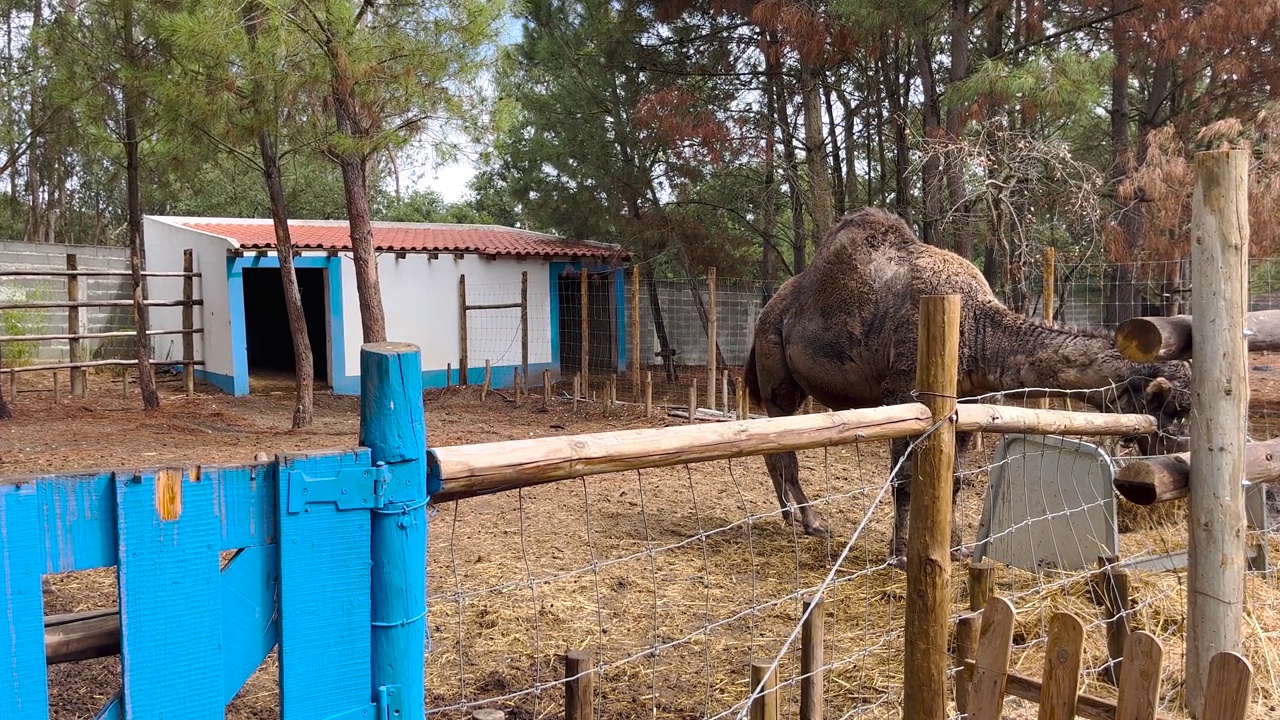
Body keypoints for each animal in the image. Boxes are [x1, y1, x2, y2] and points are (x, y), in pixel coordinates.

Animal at [742, 204, 1187, 563]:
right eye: (1170, 409)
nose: (1176, 466)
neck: (974, 330)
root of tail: (766, 311)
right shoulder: (904, 396)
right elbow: (905, 480)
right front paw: (900, 555)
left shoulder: (966, 405)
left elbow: (953, 481)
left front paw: (954, 549)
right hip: (776, 374)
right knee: (783, 449)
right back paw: (810, 521)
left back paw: (791, 516)